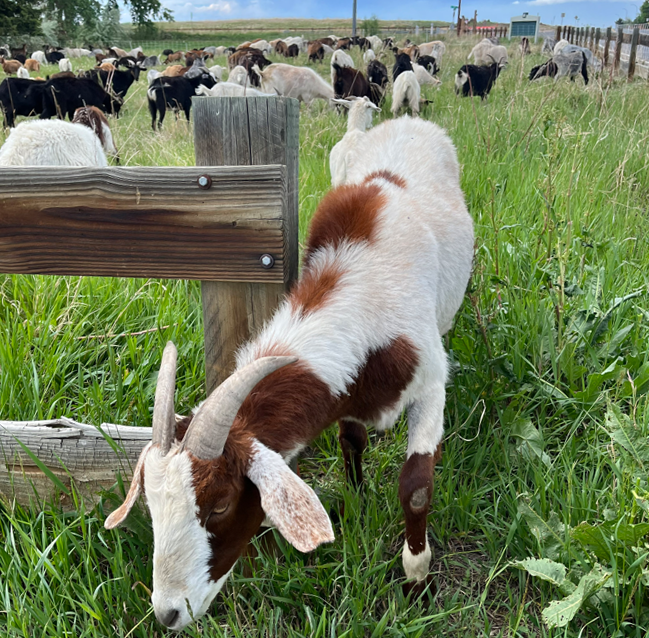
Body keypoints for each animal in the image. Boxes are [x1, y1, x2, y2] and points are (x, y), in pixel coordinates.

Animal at [106, 115, 475, 631]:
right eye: (153, 508)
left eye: (220, 504)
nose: (168, 612)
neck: (360, 288)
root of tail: (408, 120)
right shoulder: (350, 391)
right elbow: (351, 439)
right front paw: (357, 498)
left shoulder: (430, 382)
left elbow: (417, 488)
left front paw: (418, 582)